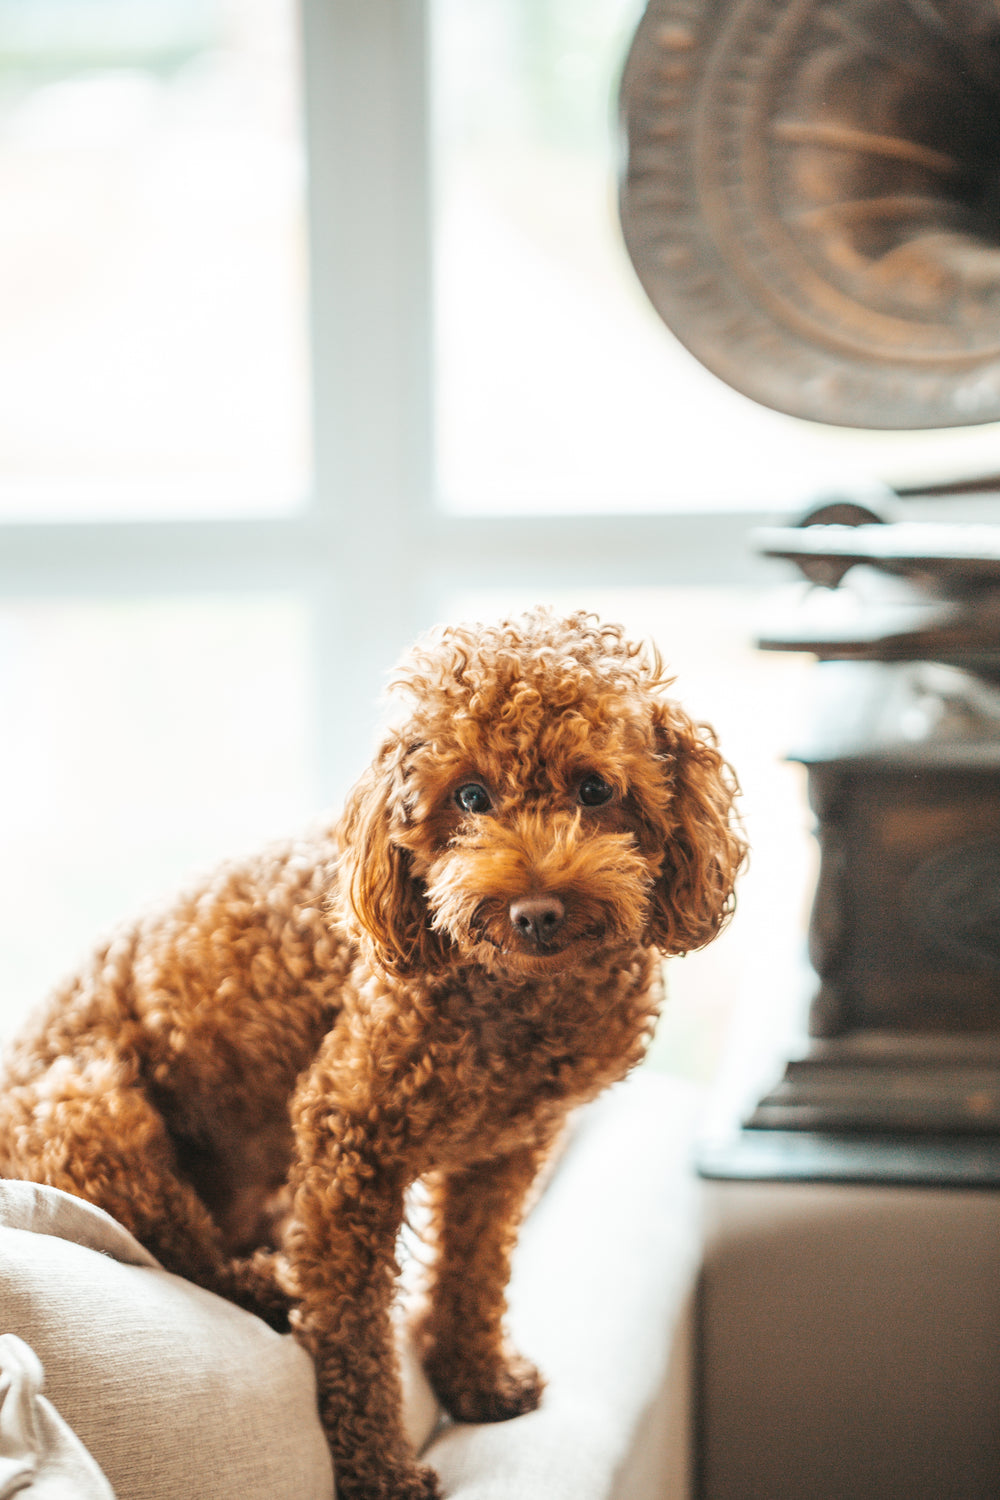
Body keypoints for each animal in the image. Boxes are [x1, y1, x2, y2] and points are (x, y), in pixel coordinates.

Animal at [0, 609, 746, 1500]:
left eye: (595, 789)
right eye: (470, 797)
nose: (535, 911)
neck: (522, 997)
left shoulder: (505, 1152)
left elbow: (473, 1269)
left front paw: (474, 1378)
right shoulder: (347, 1146)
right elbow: (353, 1332)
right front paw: (380, 1470)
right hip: (89, 1110)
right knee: (179, 1247)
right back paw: (265, 1283)